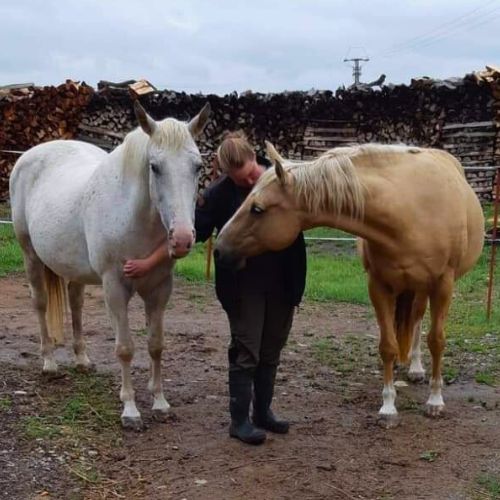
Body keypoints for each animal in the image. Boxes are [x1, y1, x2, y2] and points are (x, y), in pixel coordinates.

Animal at [10, 101, 209, 430]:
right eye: (154, 167)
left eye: (198, 167)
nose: (181, 239)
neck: (133, 217)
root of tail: (28, 156)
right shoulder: (115, 287)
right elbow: (125, 348)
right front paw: (130, 410)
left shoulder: (159, 290)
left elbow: (156, 345)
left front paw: (160, 403)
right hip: (31, 257)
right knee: (40, 304)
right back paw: (49, 363)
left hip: (74, 269)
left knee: (76, 304)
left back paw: (82, 360)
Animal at [215, 141, 484, 426]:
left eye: (257, 209)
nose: (219, 249)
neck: (411, 211)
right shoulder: (379, 286)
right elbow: (387, 346)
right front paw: (388, 407)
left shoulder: (443, 285)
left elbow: (437, 341)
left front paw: (435, 401)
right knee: (411, 321)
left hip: (424, 288)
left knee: (419, 321)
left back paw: (416, 368)